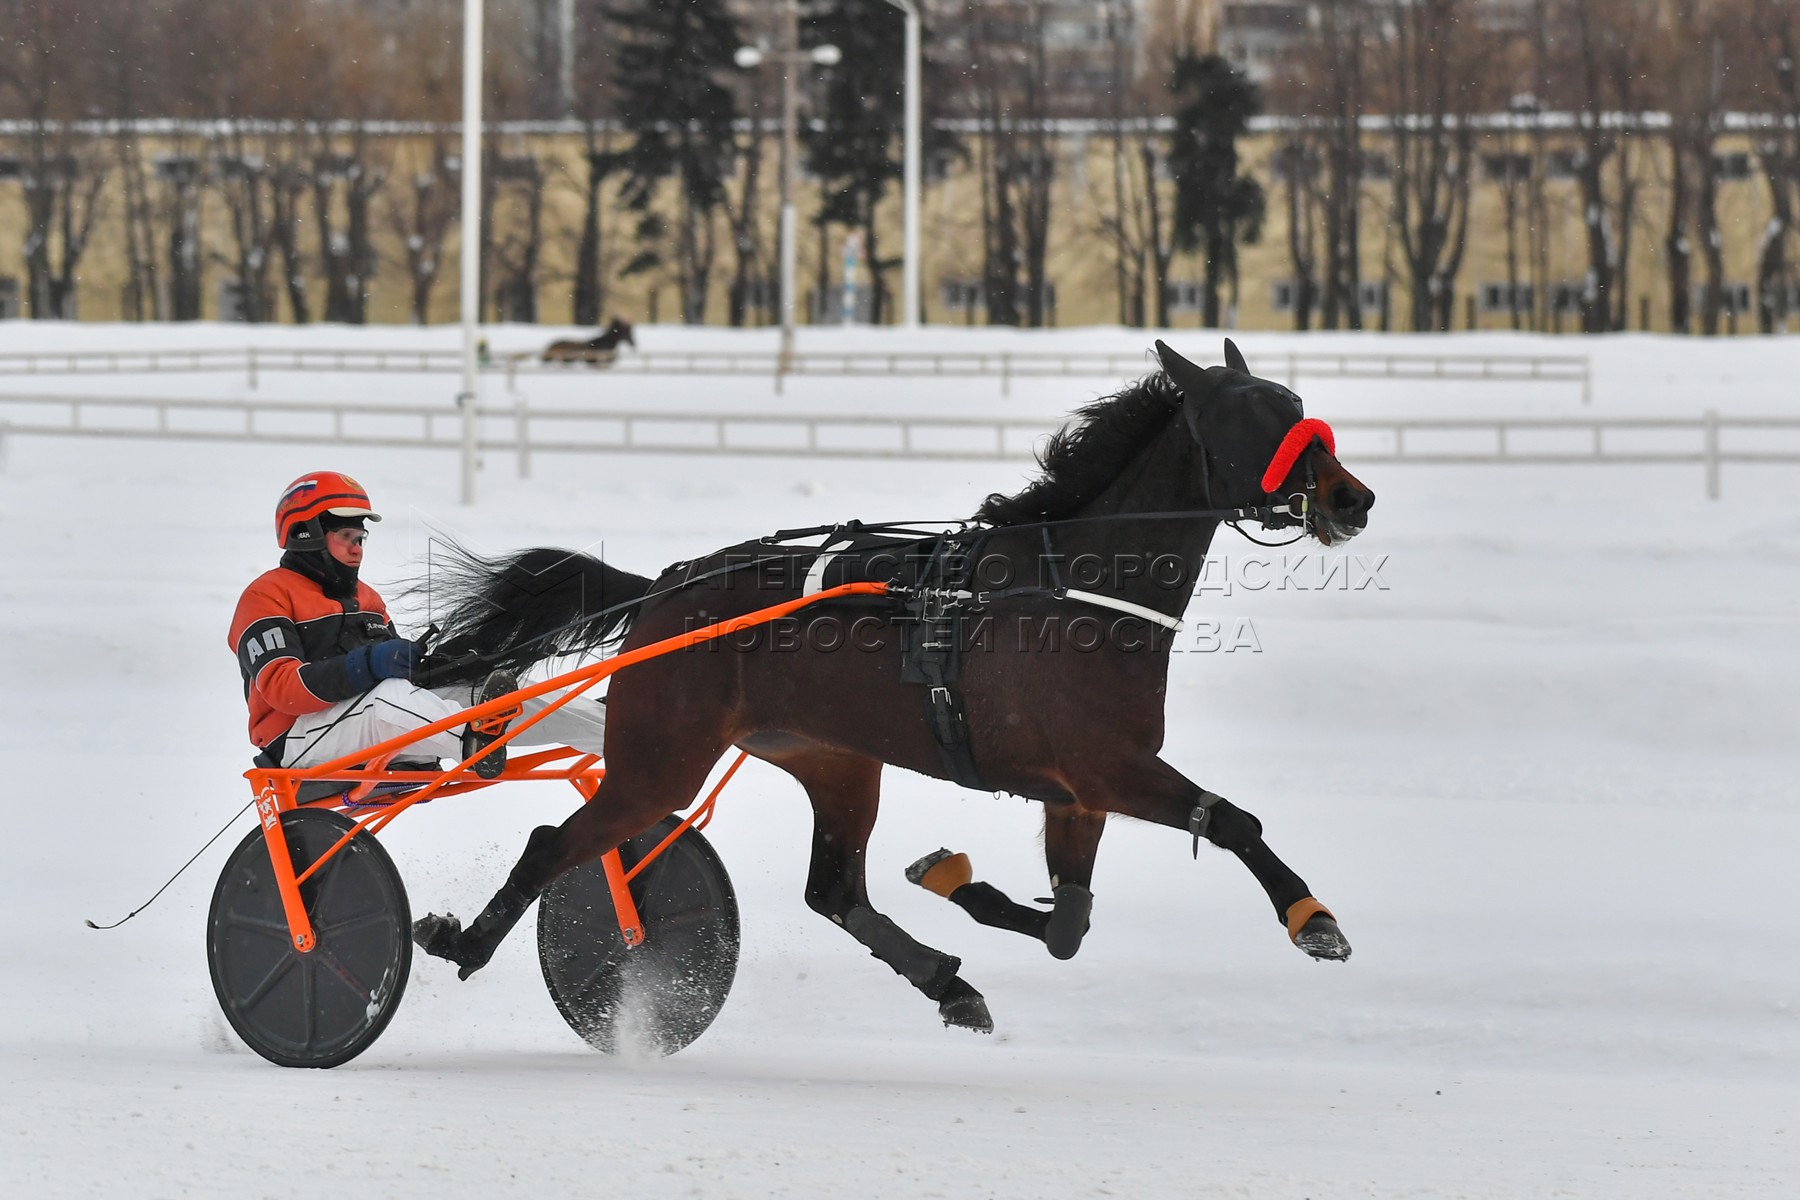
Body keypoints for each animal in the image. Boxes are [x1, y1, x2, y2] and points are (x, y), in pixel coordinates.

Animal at [414, 340, 1375, 1036]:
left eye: (1296, 409)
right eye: (1251, 420)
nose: (1352, 497)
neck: (1072, 589)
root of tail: (665, 589)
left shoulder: (1078, 792)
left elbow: (1068, 926)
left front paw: (956, 881)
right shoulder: (1109, 768)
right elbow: (1233, 821)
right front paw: (1313, 919)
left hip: (836, 762)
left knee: (835, 892)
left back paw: (949, 983)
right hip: (659, 760)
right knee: (554, 843)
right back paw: (464, 939)